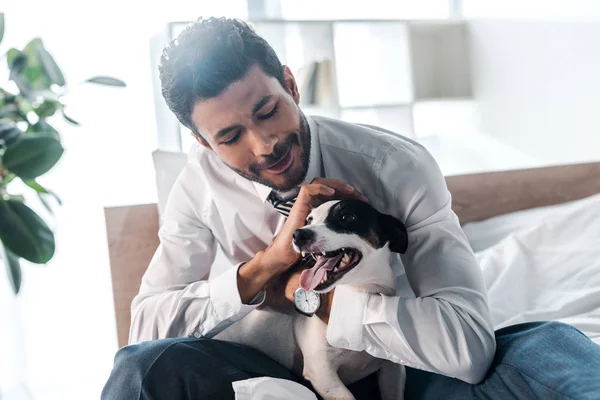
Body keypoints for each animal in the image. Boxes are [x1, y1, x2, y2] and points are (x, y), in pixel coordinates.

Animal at [214, 198, 408, 398]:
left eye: (347, 216)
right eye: (309, 220)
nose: (298, 234)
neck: (360, 290)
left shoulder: (393, 369)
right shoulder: (321, 371)